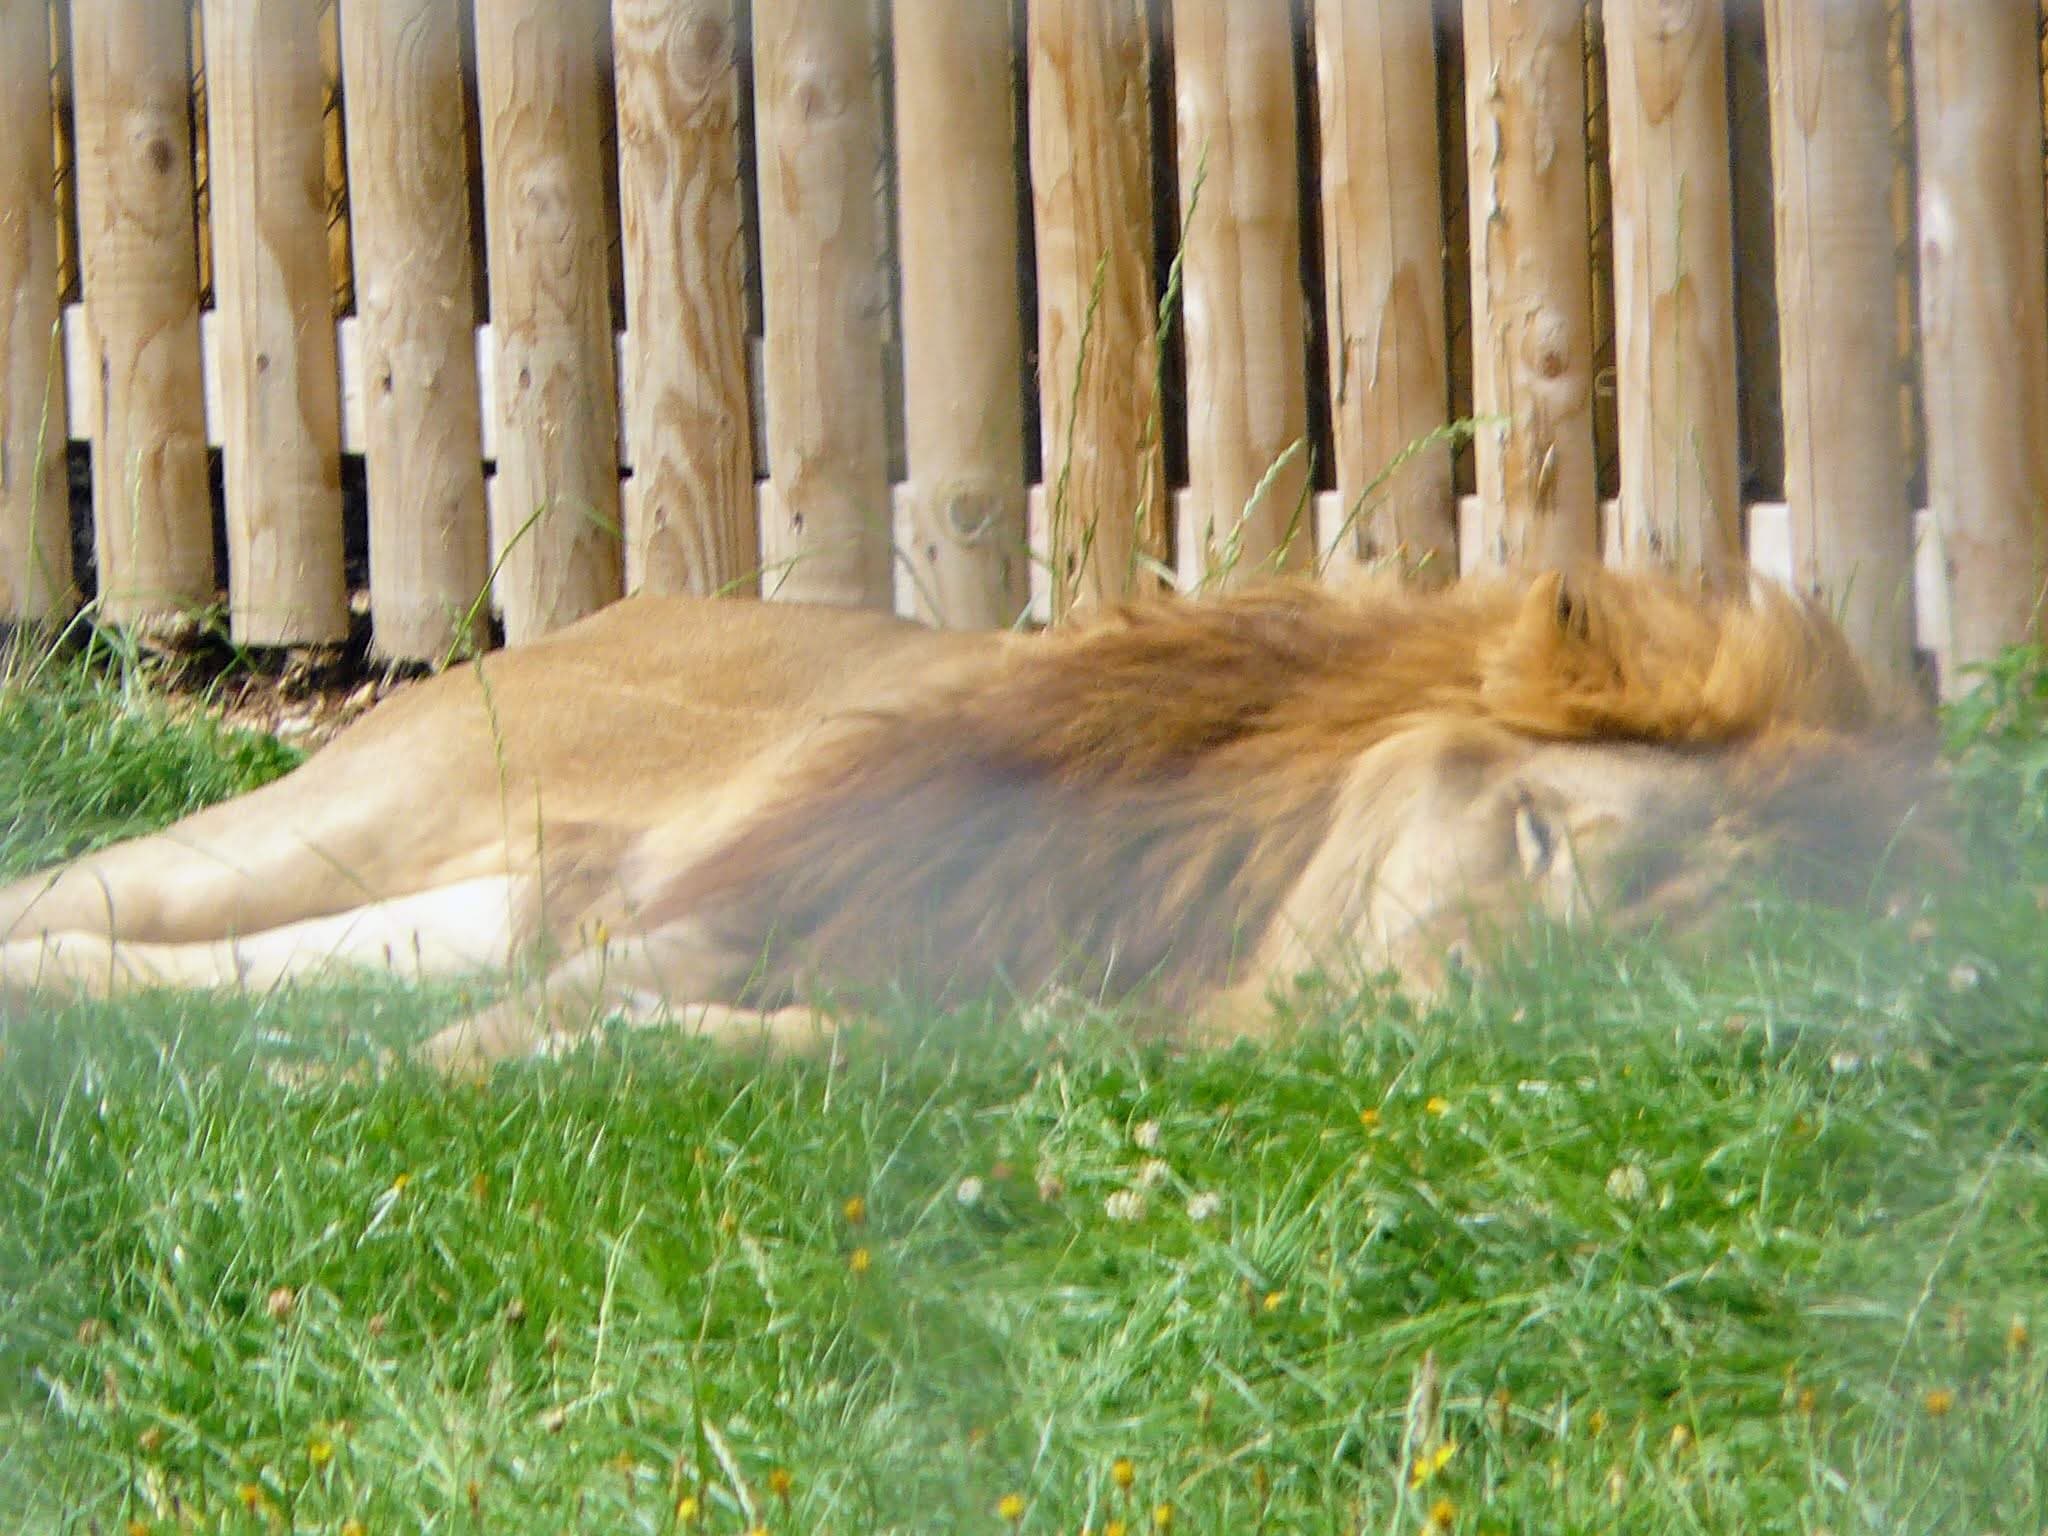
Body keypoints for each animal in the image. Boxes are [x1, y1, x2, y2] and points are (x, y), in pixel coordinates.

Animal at [0, 570, 1935, 1068]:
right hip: (349, 819)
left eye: (1618, 986)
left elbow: (750, 1045)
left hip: (473, 884)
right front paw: (357, 1103)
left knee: (166, 958)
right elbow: (465, 1051)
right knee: (77, 892)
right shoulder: (773, 894)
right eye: (1536, 839)